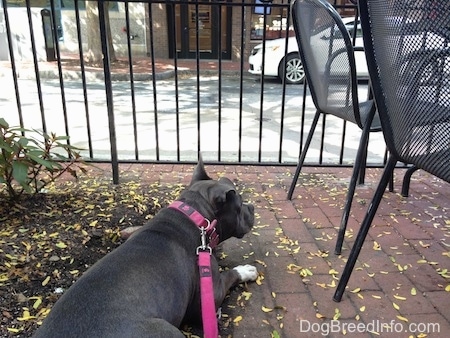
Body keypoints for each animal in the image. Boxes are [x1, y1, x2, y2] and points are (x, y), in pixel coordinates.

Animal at [33, 159, 258, 338]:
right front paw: (245, 270)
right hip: (166, 331)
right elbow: (230, 275)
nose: (253, 207)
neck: (195, 216)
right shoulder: (211, 292)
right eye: (240, 205)